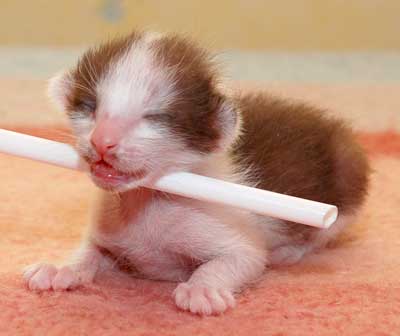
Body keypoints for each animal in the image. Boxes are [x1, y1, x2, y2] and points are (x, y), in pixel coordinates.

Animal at [23, 30, 370, 316]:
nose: (102, 141)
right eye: (90, 105)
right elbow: (88, 251)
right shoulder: (108, 231)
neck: (146, 203)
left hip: (346, 181)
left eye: (155, 117)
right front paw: (61, 268)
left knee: (324, 232)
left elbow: (238, 259)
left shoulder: (237, 238)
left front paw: (203, 289)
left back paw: (291, 251)